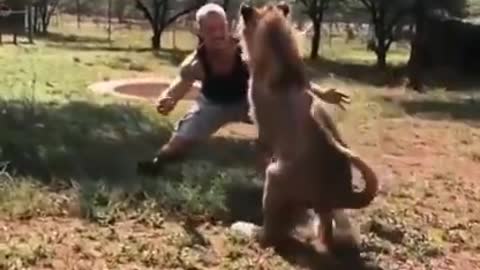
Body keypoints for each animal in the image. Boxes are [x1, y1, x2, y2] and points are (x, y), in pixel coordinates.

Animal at [238, 2, 380, 252]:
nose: (244, 6)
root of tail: (344, 193)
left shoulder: (263, 127)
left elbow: (263, 145)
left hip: (274, 177)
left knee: (271, 234)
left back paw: (249, 230)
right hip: (322, 208)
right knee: (327, 233)